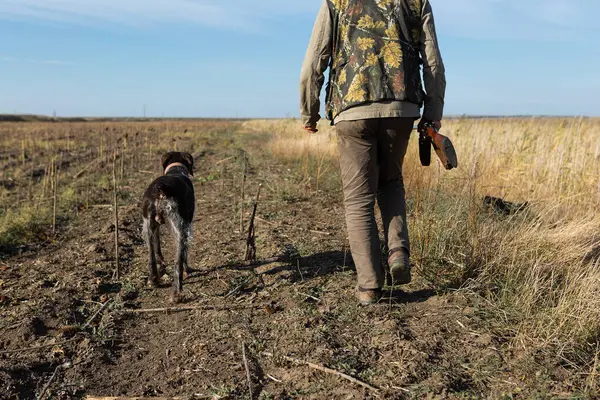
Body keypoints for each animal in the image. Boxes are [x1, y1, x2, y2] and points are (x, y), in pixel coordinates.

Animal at [141, 152, 195, 302]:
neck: (176, 170)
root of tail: (161, 189)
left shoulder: (156, 227)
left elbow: (158, 247)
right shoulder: (188, 223)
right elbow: (185, 254)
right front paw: (188, 269)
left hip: (147, 226)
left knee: (151, 255)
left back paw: (153, 279)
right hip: (180, 227)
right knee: (178, 261)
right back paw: (177, 292)